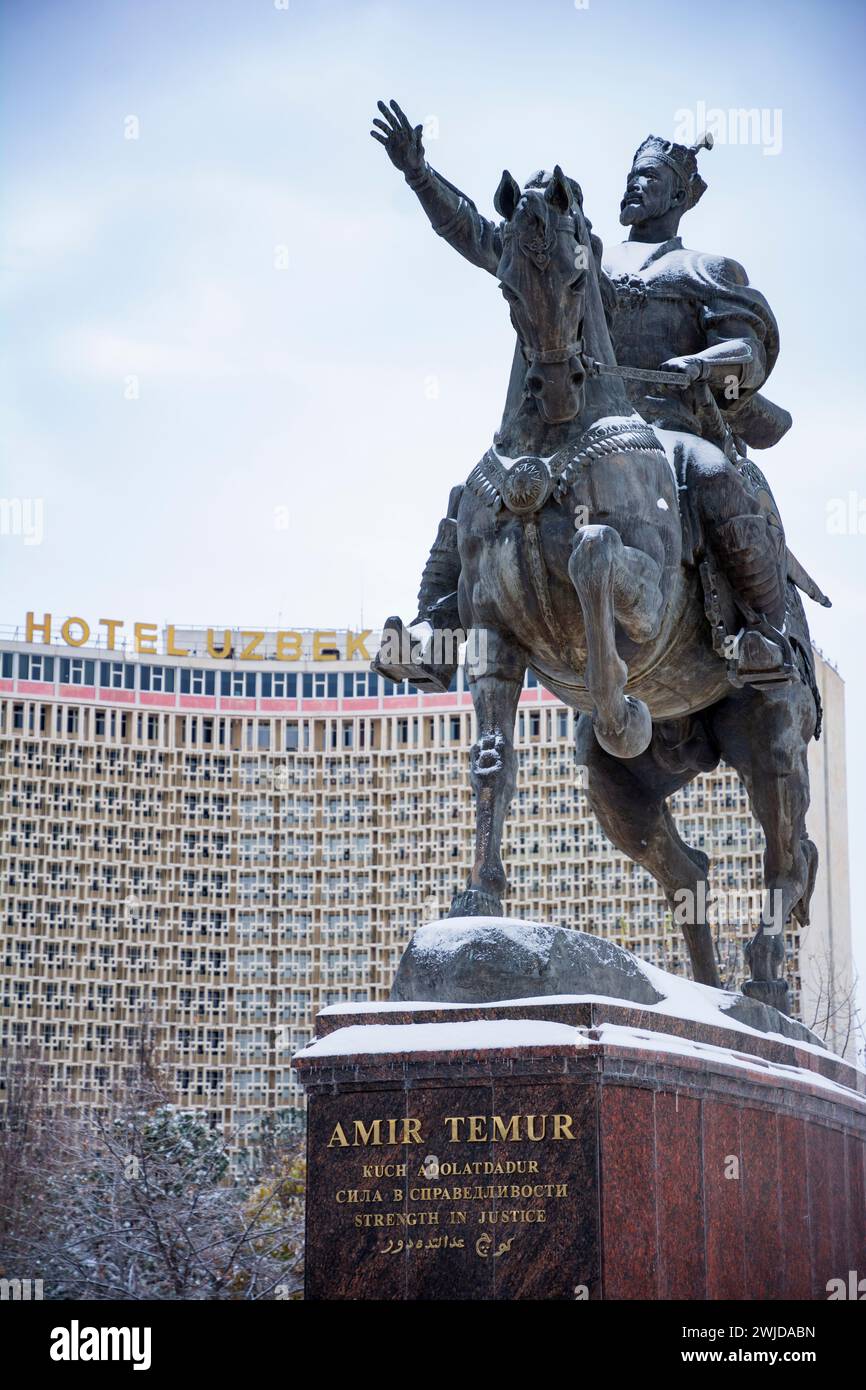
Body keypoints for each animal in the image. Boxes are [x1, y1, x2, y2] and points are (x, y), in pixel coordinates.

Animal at [450, 165, 822, 1011]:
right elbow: (493, 759)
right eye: (505, 282)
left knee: (787, 855)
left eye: (574, 274)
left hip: (773, 735)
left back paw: (764, 983)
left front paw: (622, 709)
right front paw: (479, 899)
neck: (552, 447)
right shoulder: (493, 635)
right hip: (622, 793)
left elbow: (594, 555)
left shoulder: (649, 606)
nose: (556, 383)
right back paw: (713, 995)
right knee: (690, 870)